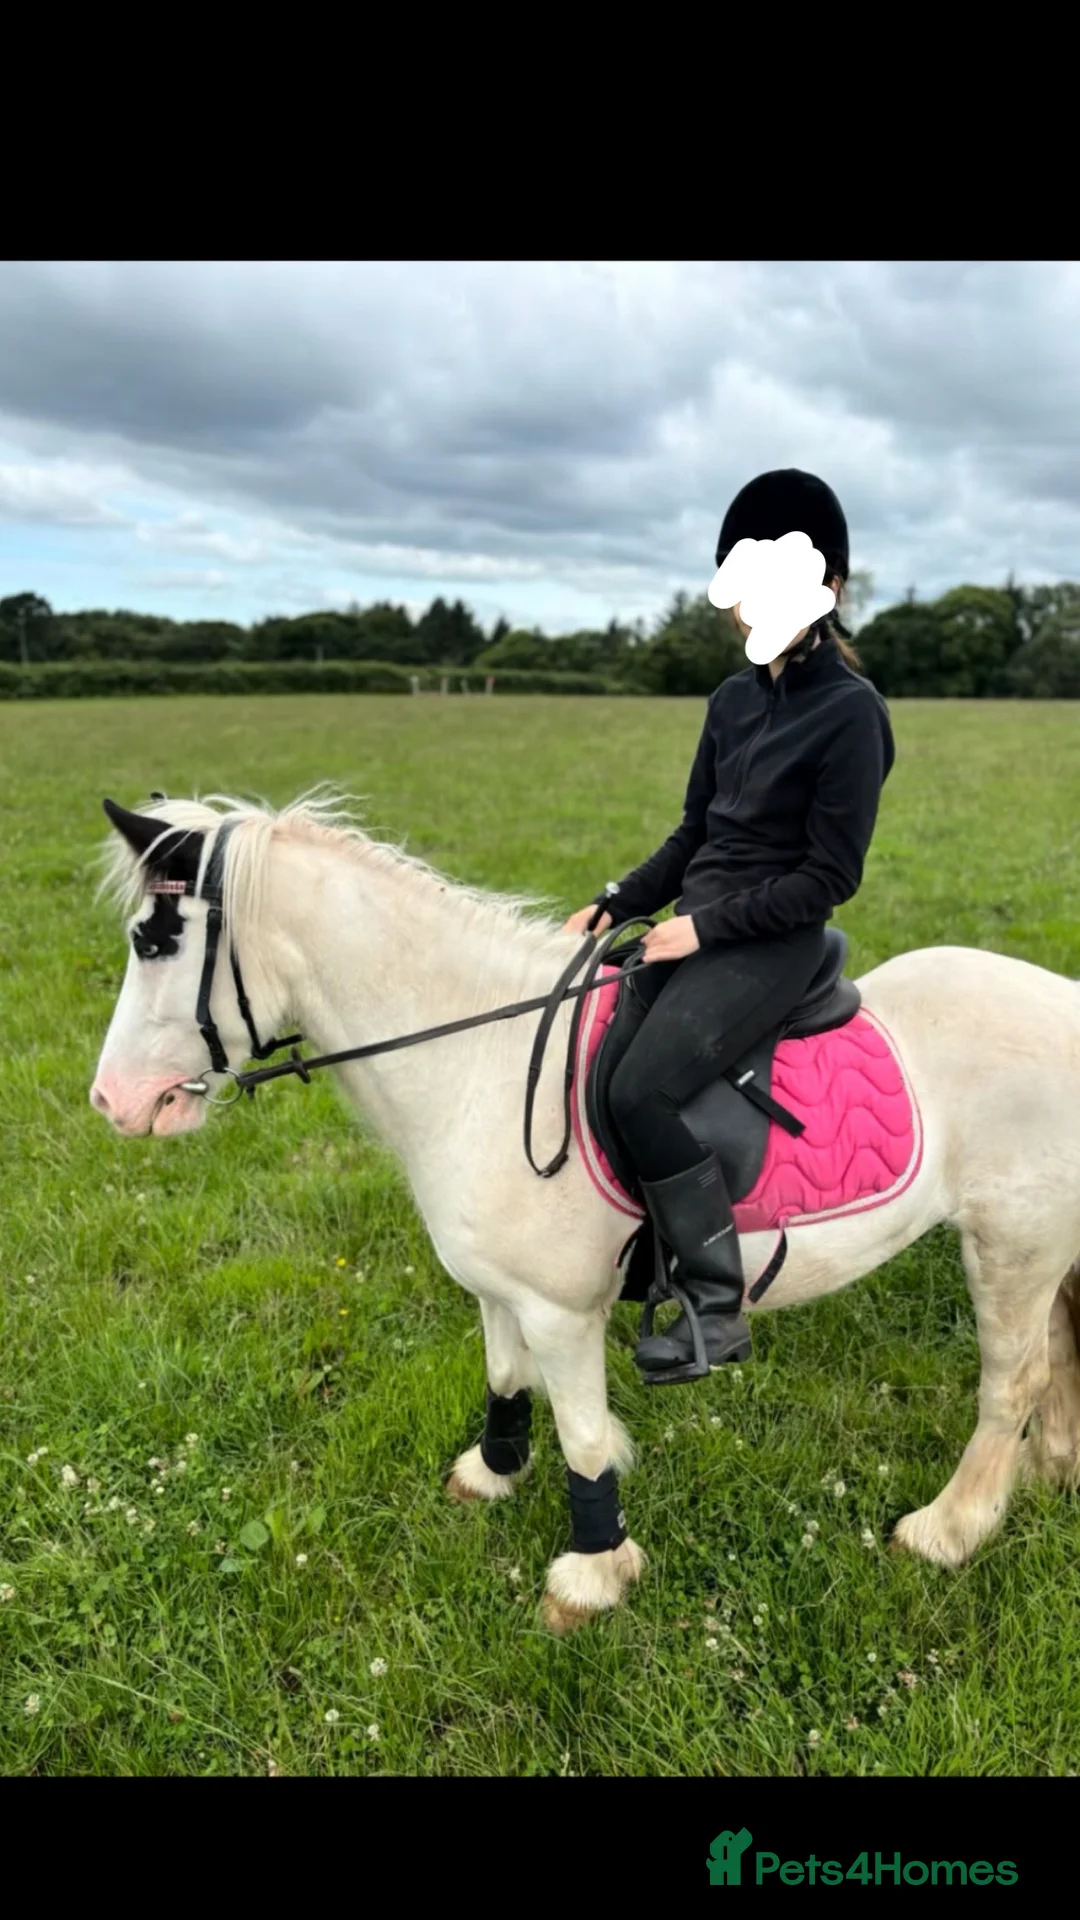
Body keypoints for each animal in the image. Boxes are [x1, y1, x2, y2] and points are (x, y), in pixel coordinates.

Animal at [90, 790, 1080, 1631]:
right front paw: (492, 1473)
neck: (477, 1062)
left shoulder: (562, 1313)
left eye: (154, 942)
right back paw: (1051, 1470)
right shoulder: (498, 1292)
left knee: (1013, 1380)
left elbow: (585, 1436)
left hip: (1011, 1242)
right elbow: (505, 1378)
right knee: (1060, 1350)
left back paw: (949, 1529)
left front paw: (591, 1575)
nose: (111, 1103)